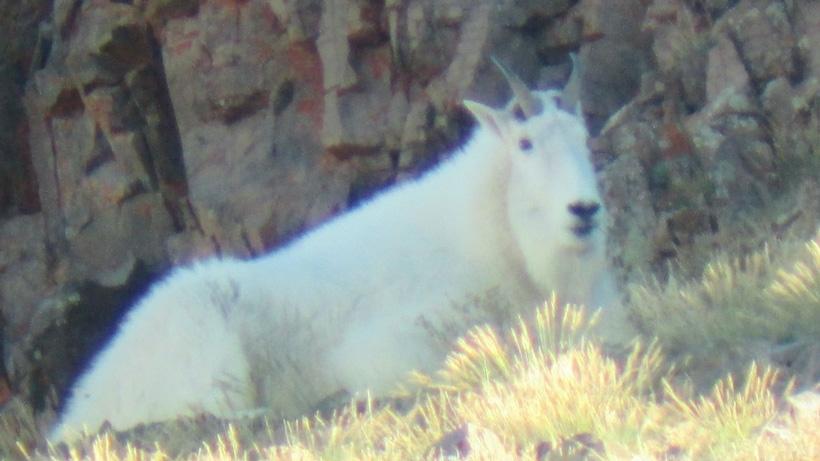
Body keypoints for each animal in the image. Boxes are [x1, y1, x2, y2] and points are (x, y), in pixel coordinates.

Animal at [49, 56, 623, 442]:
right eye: (526, 144)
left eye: (585, 139)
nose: (584, 210)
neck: (490, 235)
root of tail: (82, 406)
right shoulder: (387, 345)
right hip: (203, 343)